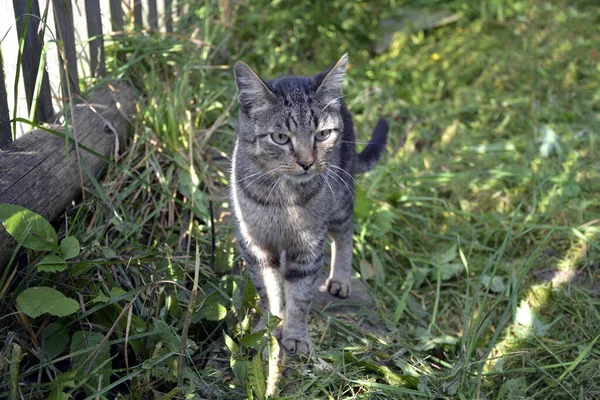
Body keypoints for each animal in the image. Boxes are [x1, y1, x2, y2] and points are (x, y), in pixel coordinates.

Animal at [230, 54, 390, 354]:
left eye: (322, 134)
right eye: (280, 137)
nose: (307, 162)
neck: (282, 200)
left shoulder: (307, 245)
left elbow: (300, 296)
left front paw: (295, 336)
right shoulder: (255, 245)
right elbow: (269, 291)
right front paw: (267, 329)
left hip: (340, 202)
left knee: (345, 235)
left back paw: (340, 280)